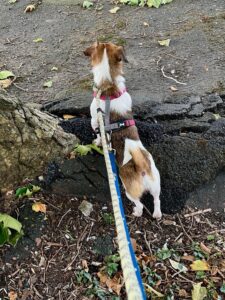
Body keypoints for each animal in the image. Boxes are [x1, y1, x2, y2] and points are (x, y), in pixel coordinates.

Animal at [84, 42, 162, 219]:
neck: (109, 86)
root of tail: (142, 167)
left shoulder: (94, 119)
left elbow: (97, 132)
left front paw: (97, 141)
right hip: (156, 184)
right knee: (156, 199)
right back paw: (157, 214)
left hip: (129, 191)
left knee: (139, 204)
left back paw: (136, 212)